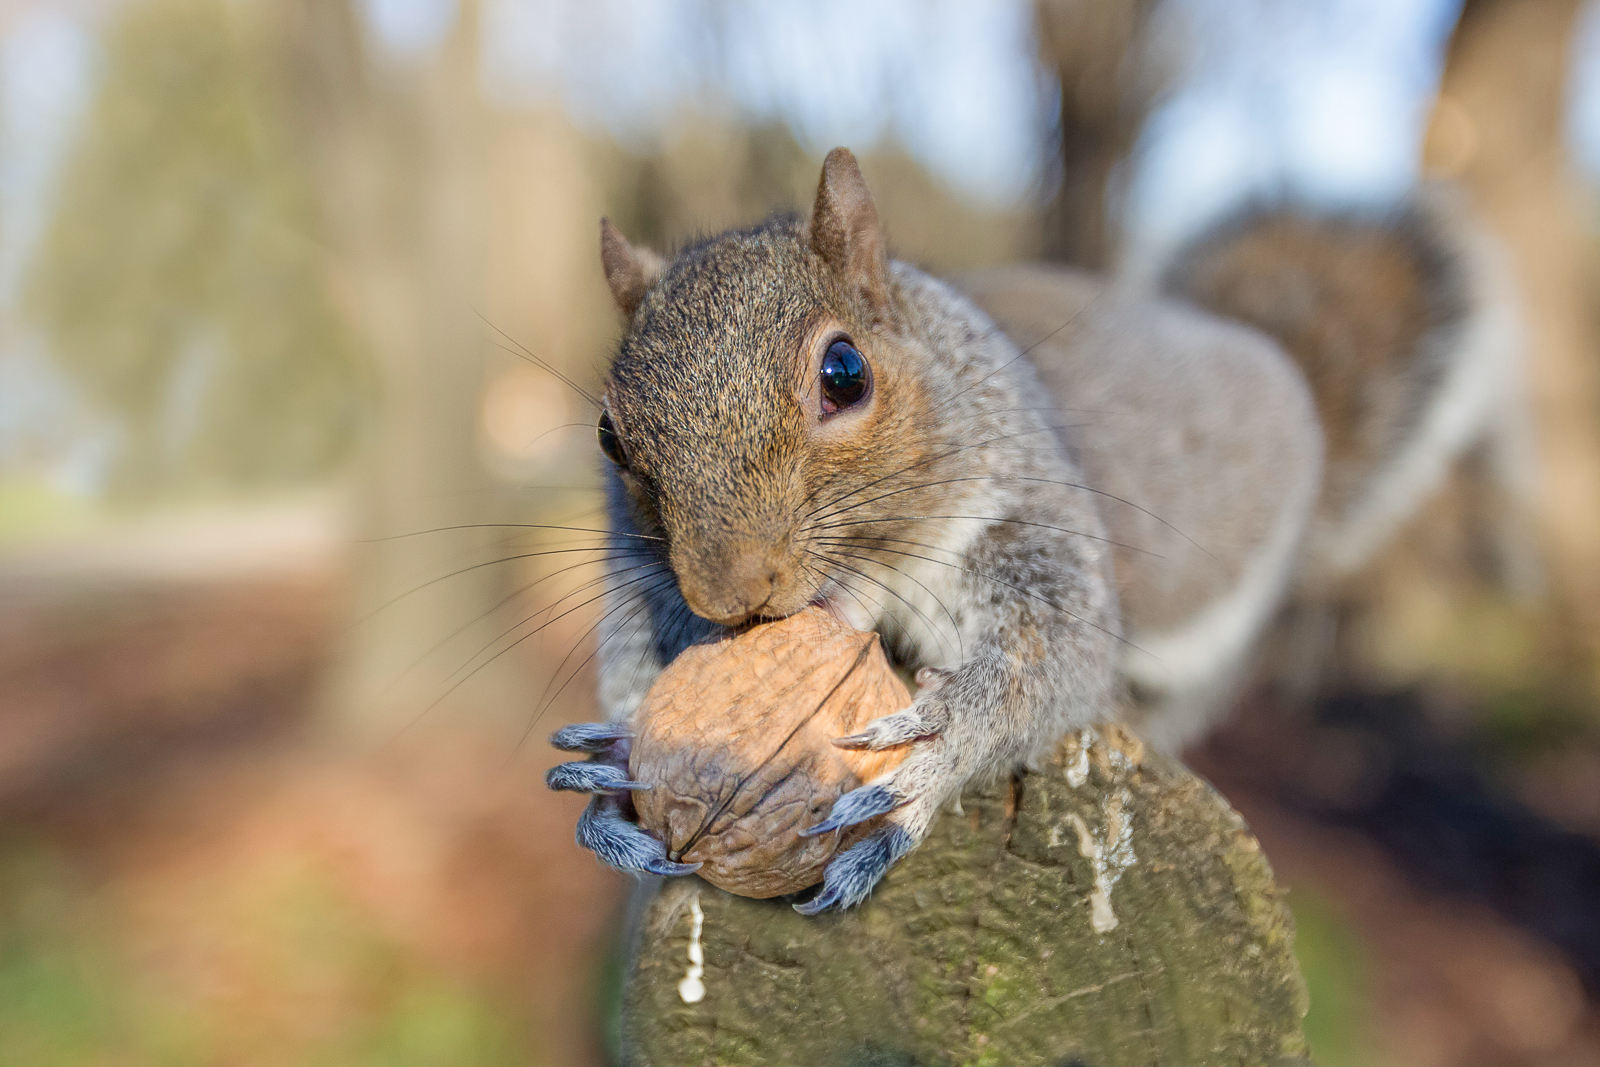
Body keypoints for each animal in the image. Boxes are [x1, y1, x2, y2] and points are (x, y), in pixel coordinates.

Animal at [544, 147, 1524, 912]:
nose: (731, 592)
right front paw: (617, 777)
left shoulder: (1033, 518)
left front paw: (937, 748)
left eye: (845, 373)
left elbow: (1050, 661)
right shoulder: (638, 576)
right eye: (609, 435)